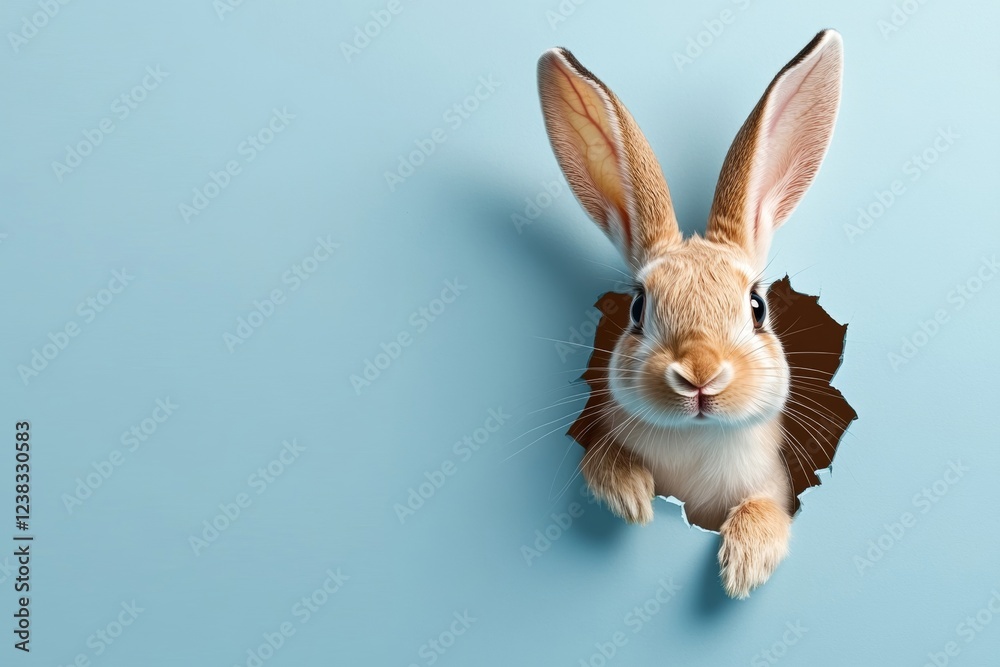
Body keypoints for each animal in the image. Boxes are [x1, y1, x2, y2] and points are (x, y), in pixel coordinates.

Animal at [537, 29, 843, 598]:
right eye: (637, 307)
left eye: (757, 306)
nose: (700, 374)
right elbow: (600, 458)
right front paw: (633, 496)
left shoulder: (773, 486)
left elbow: (764, 510)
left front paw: (743, 566)